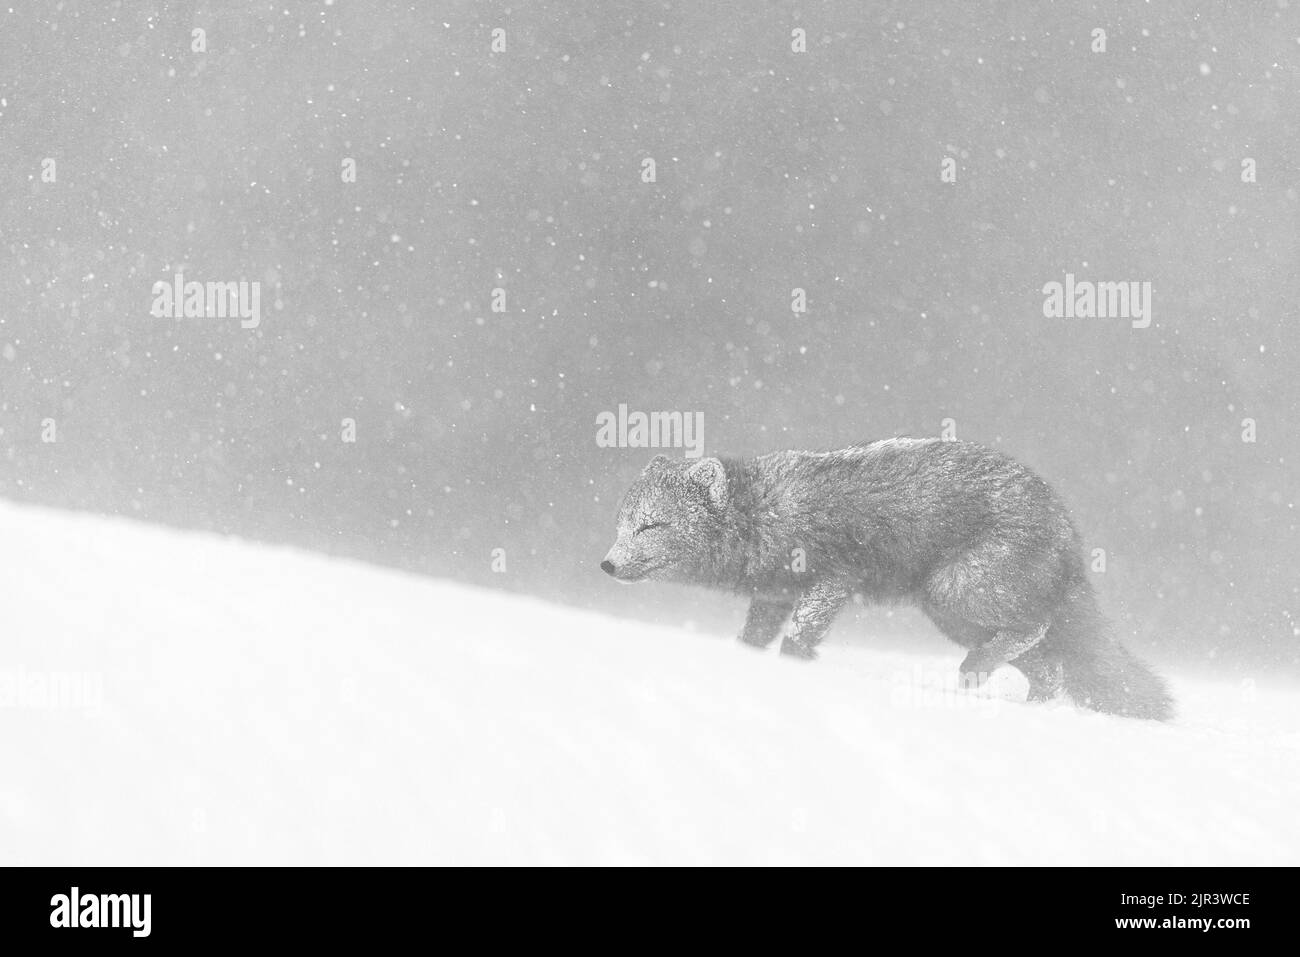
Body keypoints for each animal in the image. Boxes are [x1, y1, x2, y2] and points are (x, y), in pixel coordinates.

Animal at [601, 439, 1174, 720]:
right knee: (1049, 666)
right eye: (622, 525)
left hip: (957, 593)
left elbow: (798, 637)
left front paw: (796, 668)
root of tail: (1066, 527)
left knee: (1036, 629)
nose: (606, 564)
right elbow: (753, 640)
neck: (766, 512)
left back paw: (977, 676)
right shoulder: (774, 595)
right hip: (952, 615)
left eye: (652, 525)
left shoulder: (831, 580)